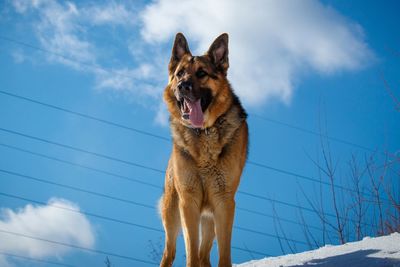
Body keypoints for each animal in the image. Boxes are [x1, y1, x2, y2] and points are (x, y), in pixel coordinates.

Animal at [160, 33, 248, 267]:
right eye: (180, 73)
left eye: (201, 73)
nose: (183, 86)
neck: (204, 133)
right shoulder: (188, 202)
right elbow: (190, 251)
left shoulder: (224, 202)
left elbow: (223, 254)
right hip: (172, 214)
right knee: (170, 252)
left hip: (210, 219)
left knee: (204, 254)